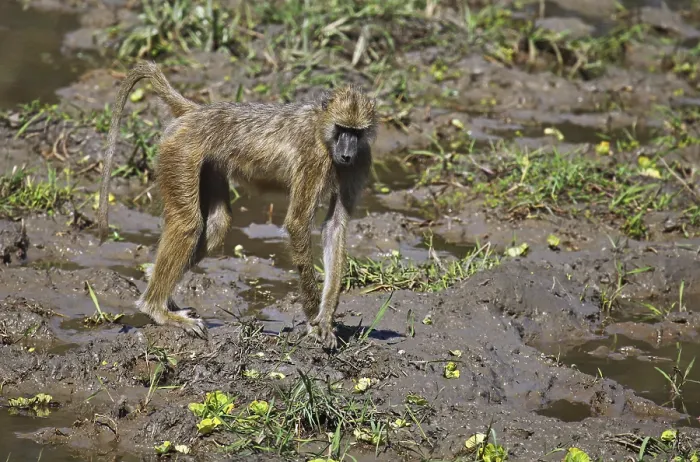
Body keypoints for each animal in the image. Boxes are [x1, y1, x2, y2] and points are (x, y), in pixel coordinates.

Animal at [97, 60, 377, 349]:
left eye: (356, 133)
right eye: (341, 129)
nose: (346, 154)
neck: (322, 131)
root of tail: (198, 111)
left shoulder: (361, 159)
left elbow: (335, 226)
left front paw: (326, 321)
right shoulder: (313, 158)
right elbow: (298, 224)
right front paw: (314, 322)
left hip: (207, 163)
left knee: (218, 224)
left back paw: (161, 291)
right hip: (180, 152)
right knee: (187, 224)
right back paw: (157, 309)